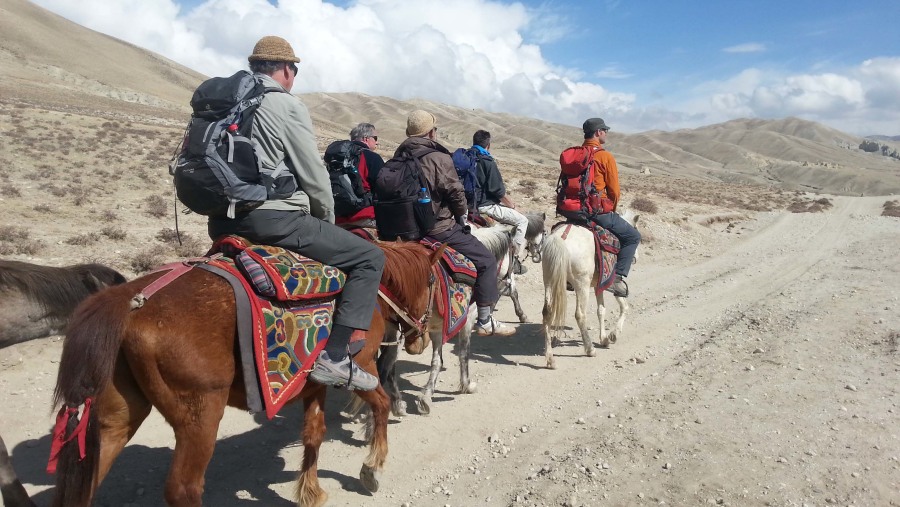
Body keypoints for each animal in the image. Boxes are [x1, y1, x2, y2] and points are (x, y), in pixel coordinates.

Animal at [50, 242, 442, 507]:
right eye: (431, 283)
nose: (420, 340)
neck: (371, 294)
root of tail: (129, 300)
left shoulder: (313, 383)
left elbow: (313, 434)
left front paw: (310, 491)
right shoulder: (362, 367)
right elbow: (381, 404)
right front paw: (372, 468)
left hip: (115, 421)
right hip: (200, 416)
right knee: (184, 489)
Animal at [540, 209, 640, 370]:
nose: (636, 257)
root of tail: (561, 239)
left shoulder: (599, 285)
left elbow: (601, 310)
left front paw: (604, 338)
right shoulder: (611, 281)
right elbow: (624, 306)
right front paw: (613, 335)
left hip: (549, 280)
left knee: (547, 313)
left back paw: (550, 359)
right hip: (582, 284)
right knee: (580, 315)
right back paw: (590, 349)